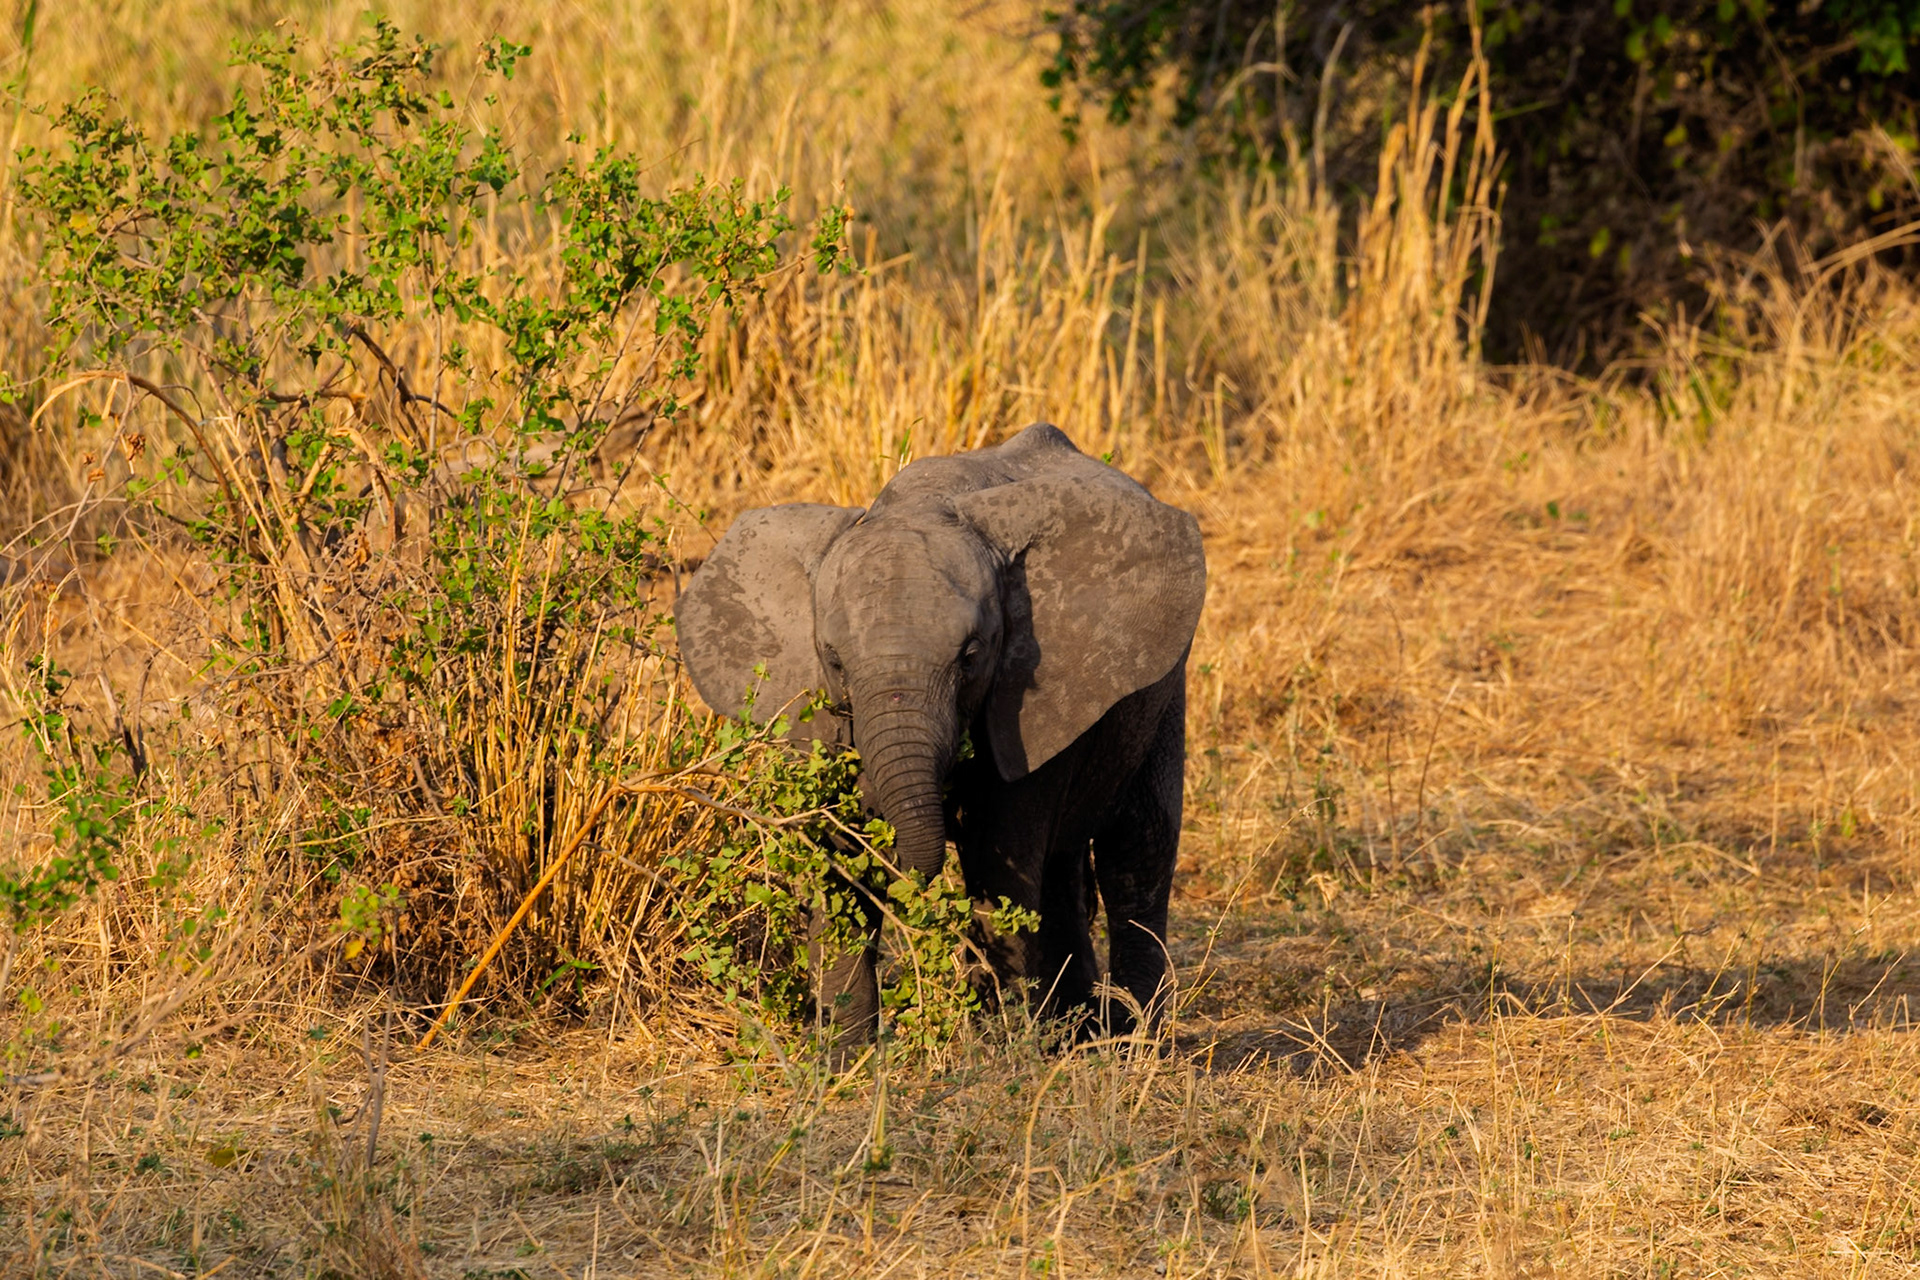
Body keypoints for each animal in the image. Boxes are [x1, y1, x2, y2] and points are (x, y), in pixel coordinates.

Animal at [674, 423, 1206, 1046]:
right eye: (833, 660)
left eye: (971, 657)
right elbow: (837, 858)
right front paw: (844, 1059)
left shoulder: (1027, 703)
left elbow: (998, 868)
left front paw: (1003, 1048)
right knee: (1065, 867)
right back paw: (1078, 1037)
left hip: (1163, 688)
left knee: (1138, 848)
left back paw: (1132, 1042)